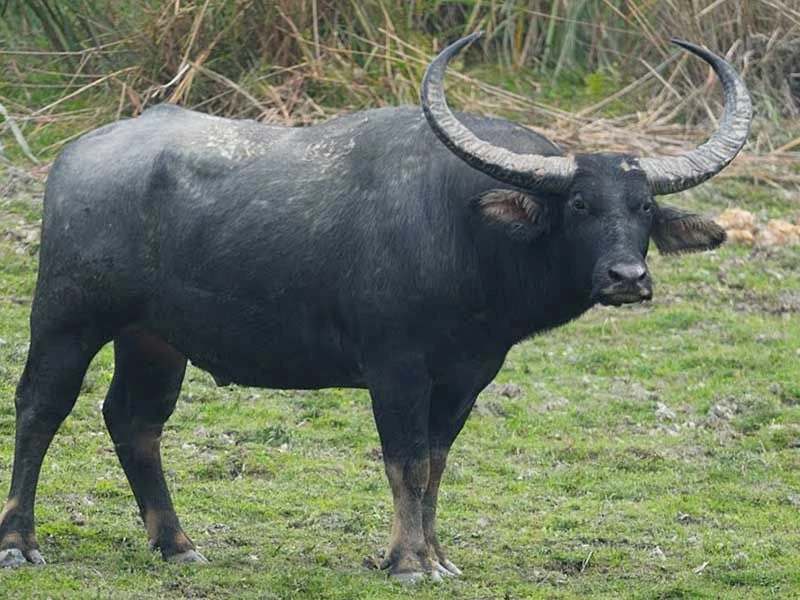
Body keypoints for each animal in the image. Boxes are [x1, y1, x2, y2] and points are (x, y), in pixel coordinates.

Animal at [0, 33, 751, 580]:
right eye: (580, 205)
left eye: (643, 206)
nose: (628, 277)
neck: (465, 228)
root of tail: (75, 157)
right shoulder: (395, 368)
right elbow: (405, 462)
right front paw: (410, 562)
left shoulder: (466, 377)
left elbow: (437, 464)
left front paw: (437, 555)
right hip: (66, 319)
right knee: (40, 409)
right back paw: (21, 543)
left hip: (154, 339)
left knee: (135, 422)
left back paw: (178, 543)